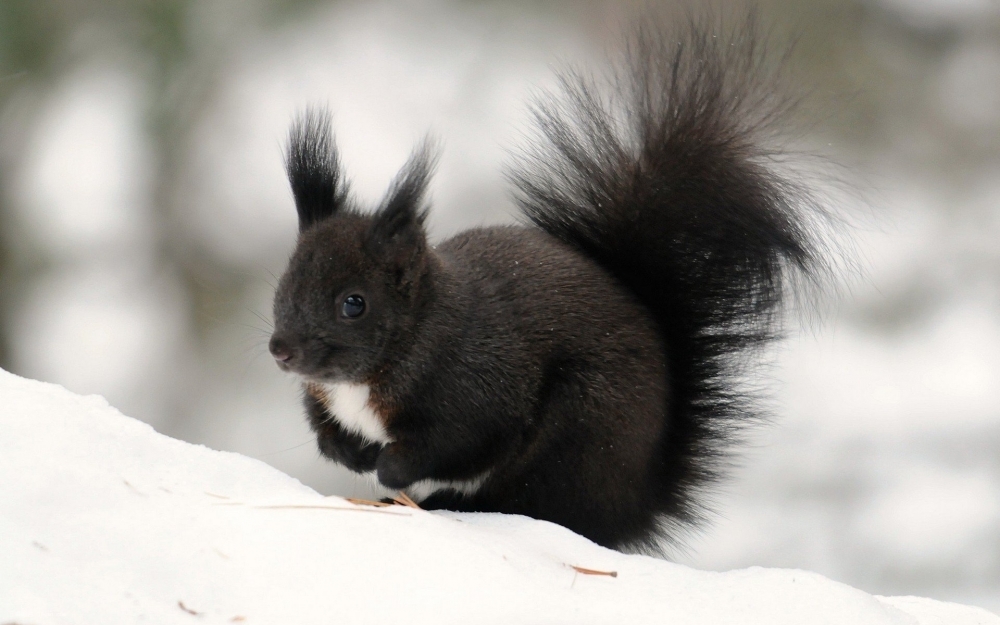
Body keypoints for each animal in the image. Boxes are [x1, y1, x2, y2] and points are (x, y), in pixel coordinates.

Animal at [268, 15, 828, 552]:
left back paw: (451, 502)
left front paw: (388, 467)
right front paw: (351, 453)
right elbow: (325, 430)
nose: (281, 351)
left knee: (537, 504)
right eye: (284, 285)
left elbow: (455, 444)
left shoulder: (479, 389)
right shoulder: (325, 398)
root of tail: (638, 503)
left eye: (353, 303)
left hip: (577, 434)